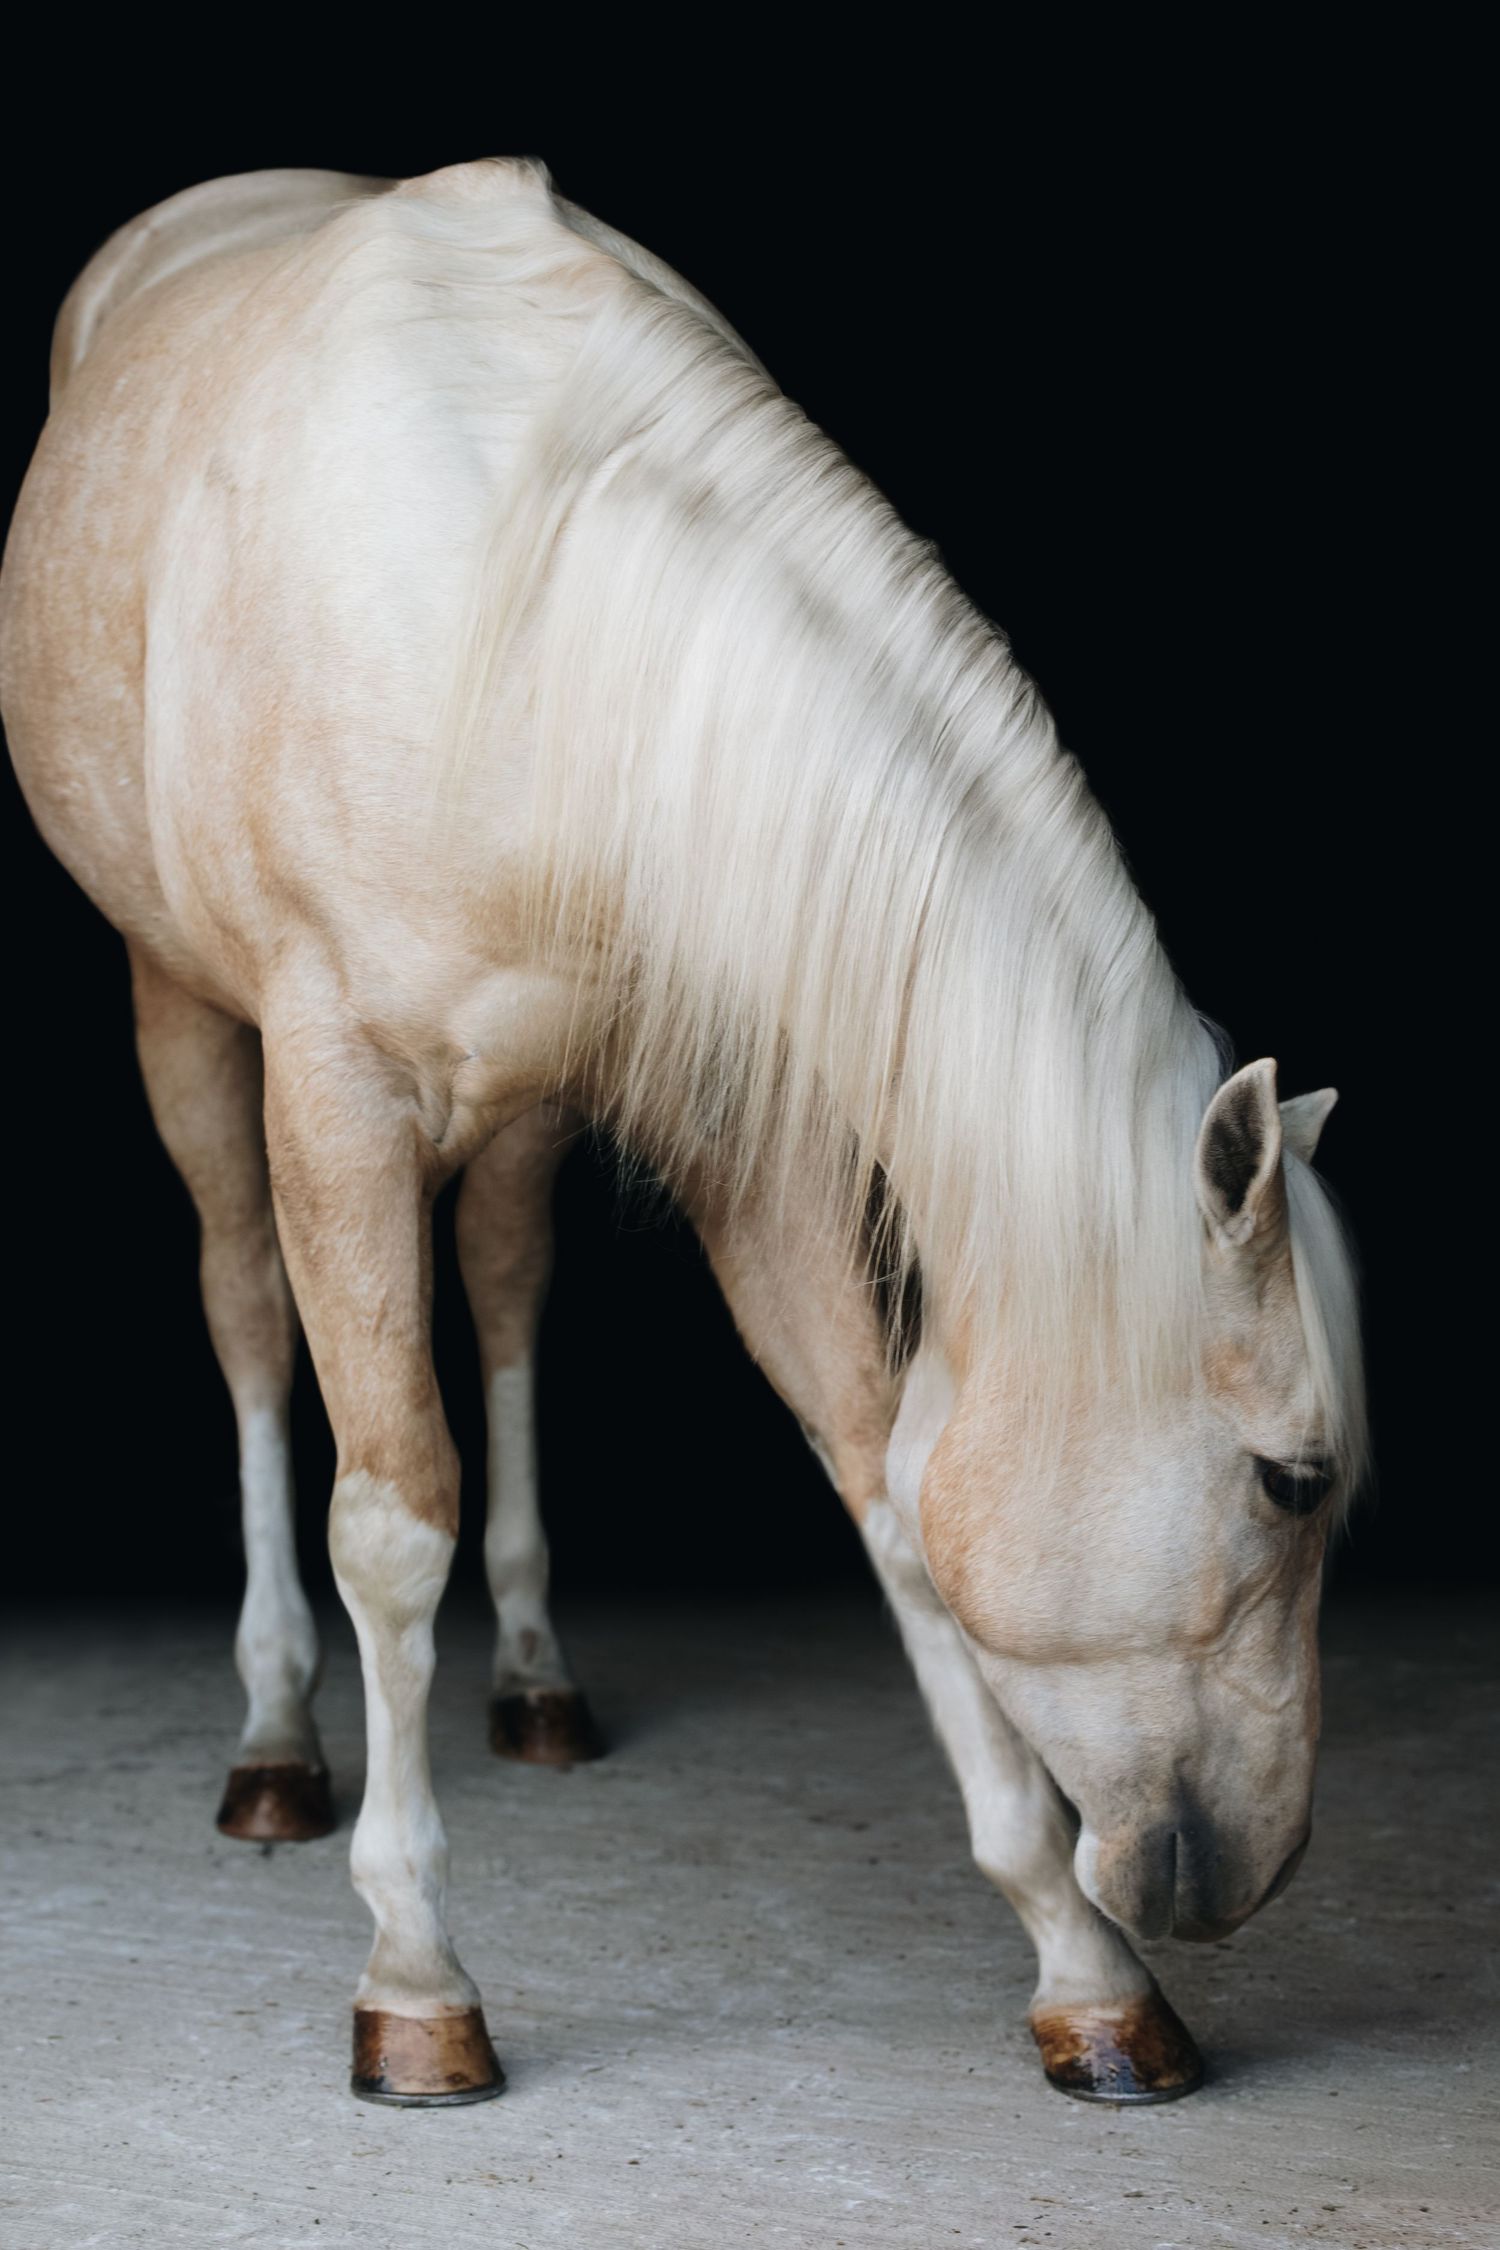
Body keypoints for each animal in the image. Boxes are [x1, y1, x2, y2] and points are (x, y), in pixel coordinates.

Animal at [0, 158, 1366, 2109]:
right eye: (1290, 1481)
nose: (1256, 1868)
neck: (522, 616)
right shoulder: (331, 1091)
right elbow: (387, 1519)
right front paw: (416, 1982)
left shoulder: (748, 1140)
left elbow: (887, 1497)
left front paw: (1086, 1974)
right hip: (183, 1021)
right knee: (251, 1324)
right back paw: (273, 1736)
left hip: (516, 1123)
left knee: (501, 1295)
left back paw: (536, 1677)